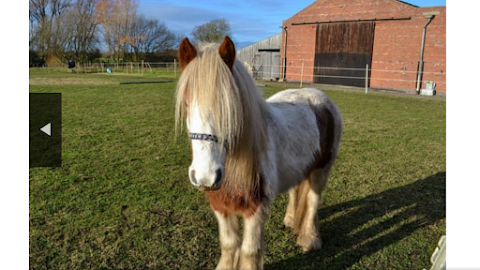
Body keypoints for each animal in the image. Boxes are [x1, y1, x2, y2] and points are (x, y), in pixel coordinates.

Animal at [174, 36, 344, 270]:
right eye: (186, 103)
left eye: (230, 107)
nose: (205, 176)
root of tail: (319, 97)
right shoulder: (220, 205)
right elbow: (229, 244)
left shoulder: (256, 208)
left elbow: (249, 250)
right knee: (296, 190)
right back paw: (291, 220)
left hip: (322, 169)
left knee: (312, 200)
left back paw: (309, 239)